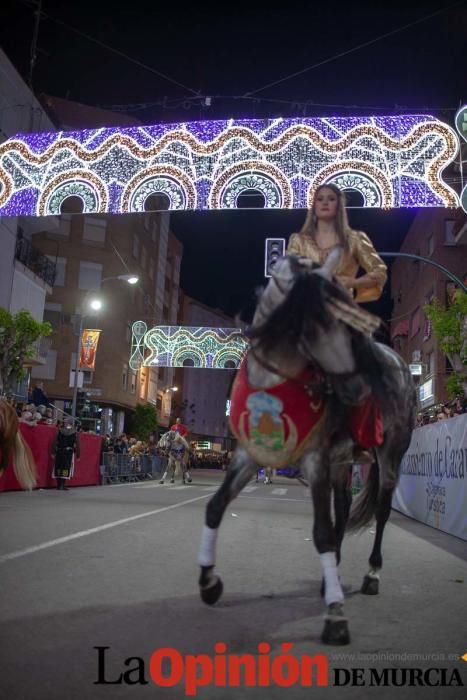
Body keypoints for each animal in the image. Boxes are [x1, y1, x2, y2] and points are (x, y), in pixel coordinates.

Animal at [197, 250, 416, 644]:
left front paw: (335, 617)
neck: (275, 380)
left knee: (382, 512)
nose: (360, 389)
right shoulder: (248, 457)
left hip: (390, 455)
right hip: (343, 462)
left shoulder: (315, 463)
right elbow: (215, 507)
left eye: (351, 326)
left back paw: (372, 575)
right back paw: (333, 577)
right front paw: (209, 583)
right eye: (316, 325)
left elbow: (322, 533)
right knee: (343, 509)